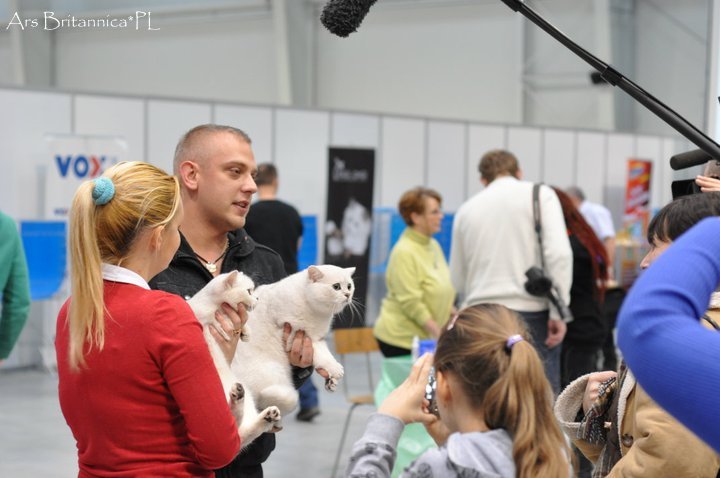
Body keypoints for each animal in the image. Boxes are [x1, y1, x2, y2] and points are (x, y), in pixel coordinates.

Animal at [187, 270, 282, 448]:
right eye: (249, 291)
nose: (257, 298)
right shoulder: (201, 317)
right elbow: (213, 322)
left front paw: (245, 332)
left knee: (242, 431)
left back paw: (266, 414)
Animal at [231, 264, 355, 418]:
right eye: (336, 286)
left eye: (349, 286)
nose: (348, 294)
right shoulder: (296, 333)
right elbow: (321, 353)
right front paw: (334, 369)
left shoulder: (317, 337)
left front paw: (330, 381)